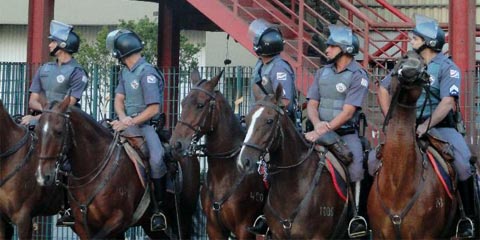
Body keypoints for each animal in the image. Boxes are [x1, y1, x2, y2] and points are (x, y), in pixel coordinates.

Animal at [170, 71, 266, 238]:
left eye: (200, 105)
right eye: (182, 103)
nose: (176, 143)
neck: (225, 172)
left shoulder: (244, 229)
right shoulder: (214, 228)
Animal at [236, 84, 348, 238]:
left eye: (269, 121)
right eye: (246, 120)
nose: (244, 161)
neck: (292, 186)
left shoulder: (317, 236)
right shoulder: (277, 235)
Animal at [370, 50, 456, 238]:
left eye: (424, 66)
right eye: (401, 59)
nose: (410, 69)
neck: (397, 184)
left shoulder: (426, 236)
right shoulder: (380, 235)